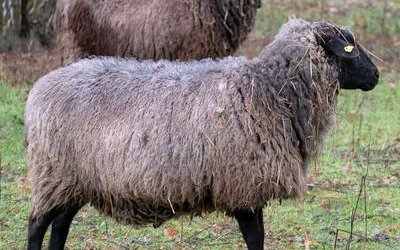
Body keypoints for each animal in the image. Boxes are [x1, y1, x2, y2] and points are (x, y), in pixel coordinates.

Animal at [24, 18, 378, 250]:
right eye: (349, 48)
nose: (376, 75)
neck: (268, 89)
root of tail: (40, 88)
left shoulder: (249, 187)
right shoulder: (242, 184)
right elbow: (255, 238)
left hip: (76, 179)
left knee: (60, 224)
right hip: (54, 172)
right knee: (37, 225)